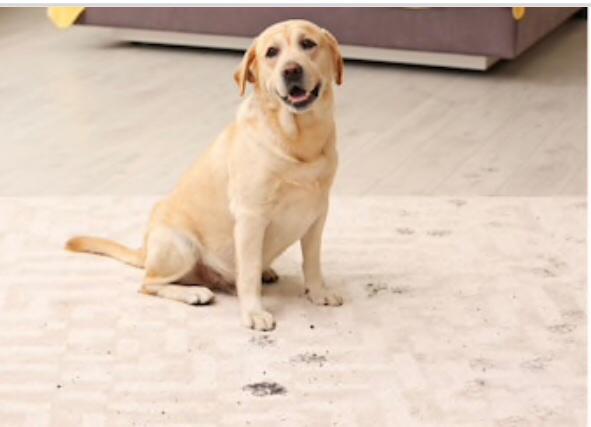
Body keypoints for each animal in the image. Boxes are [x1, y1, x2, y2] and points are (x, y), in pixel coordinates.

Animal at [68, 20, 346, 332]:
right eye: (272, 52)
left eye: (308, 44)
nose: (291, 70)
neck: (298, 140)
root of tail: (145, 250)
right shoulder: (251, 218)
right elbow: (248, 273)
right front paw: (253, 312)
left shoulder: (317, 214)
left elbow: (312, 262)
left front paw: (318, 292)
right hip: (181, 246)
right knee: (148, 284)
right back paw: (194, 293)